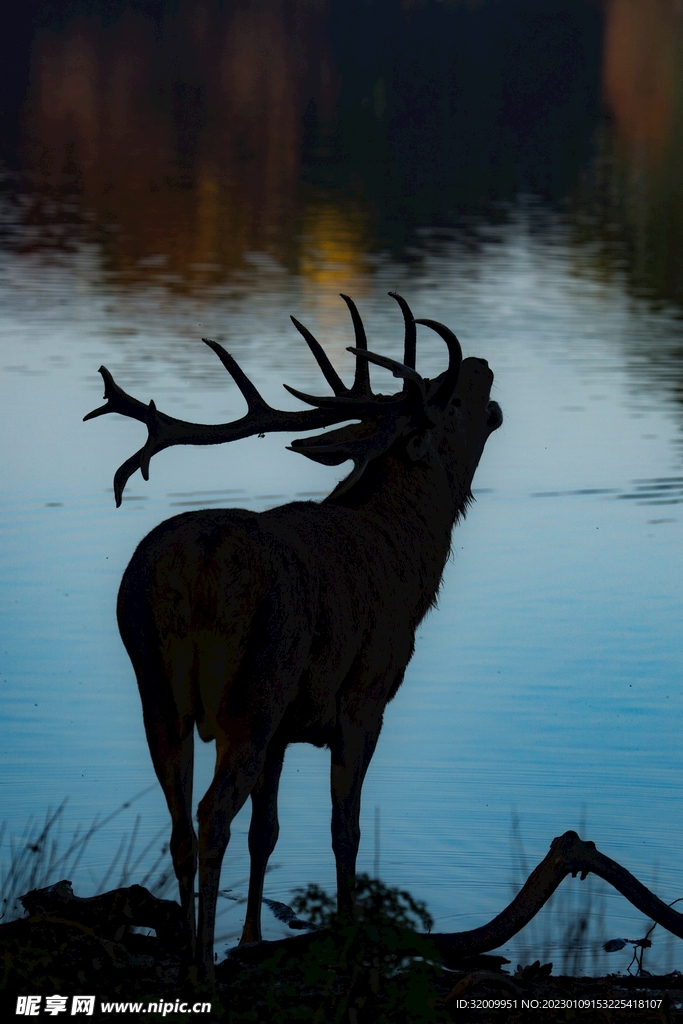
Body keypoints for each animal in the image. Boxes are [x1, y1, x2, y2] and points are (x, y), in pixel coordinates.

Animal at [84, 292, 502, 980]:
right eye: (450, 402)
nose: (485, 369)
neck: (410, 560)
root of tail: (191, 567)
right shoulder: (365, 696)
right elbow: (344, 828)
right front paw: (350, 935)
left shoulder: (286, 727)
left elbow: (269, 832)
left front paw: (253, 939)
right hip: (256, 685)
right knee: (211, 815)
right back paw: (203, 966)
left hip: (156, 686)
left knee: (181, 822)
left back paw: (192, 954)